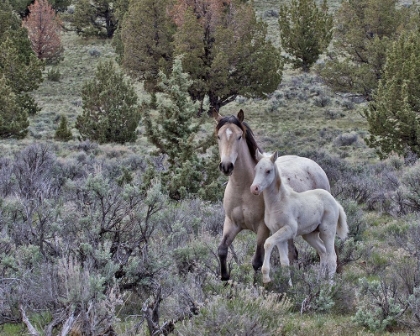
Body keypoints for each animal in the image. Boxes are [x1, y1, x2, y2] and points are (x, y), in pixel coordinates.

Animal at [249, 151, 348, 284]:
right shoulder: (277, 232)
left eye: (268, 171)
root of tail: (335, 202)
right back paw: (319, 281)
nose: (254, 188)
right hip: (310, 235)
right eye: (255, 169)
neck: (279, 203)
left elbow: (268, 243)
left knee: (332, 257)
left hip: (328, 232)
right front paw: (289, 285)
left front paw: (266, 277)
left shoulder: (289, 230)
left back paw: (329, 285)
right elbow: (284, 261)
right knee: (322, 252)